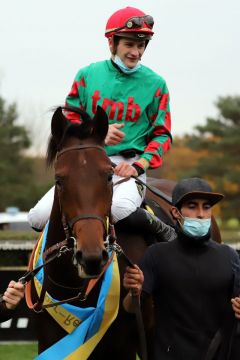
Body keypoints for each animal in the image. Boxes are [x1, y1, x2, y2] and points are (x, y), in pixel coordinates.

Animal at [26, 105, 221, 358]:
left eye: (109, 176)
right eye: (59, 180)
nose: (91, 257)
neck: (73, 287)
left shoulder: (123, 347)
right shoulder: (48, 344)